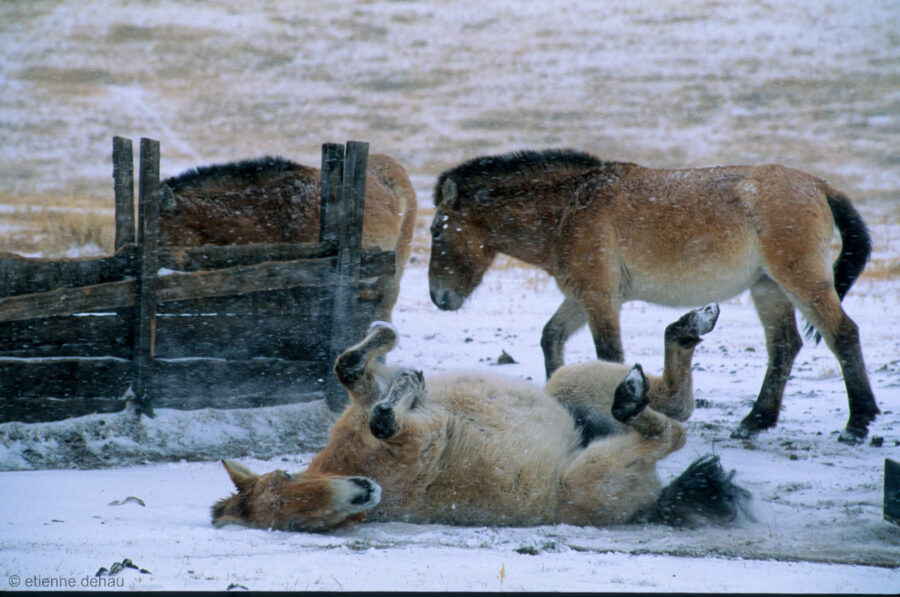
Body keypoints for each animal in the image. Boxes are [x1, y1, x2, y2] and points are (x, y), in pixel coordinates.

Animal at [214, 322, 748, 532]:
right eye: (299, 525)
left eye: (286, 478)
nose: (363, 492)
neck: (349, 461)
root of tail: (655, 501)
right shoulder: (416, 436)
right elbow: (386, 418)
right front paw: (405, 383)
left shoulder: (366, 401)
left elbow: (352, 370)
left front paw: (390, 348)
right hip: (592, 472)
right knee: (669, 429)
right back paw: (636, 394)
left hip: (569, 385)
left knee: (674, 403)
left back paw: (682, 335)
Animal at [428, 149, 880, 442]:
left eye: (435, 230)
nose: (438, 297)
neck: (569, 209)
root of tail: (818, 186)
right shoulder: (581, 298)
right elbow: (550, 338)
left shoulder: (600, 299)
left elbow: (609, 356)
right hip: (768, 288)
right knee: (784, 345)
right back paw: (755, 421)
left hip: (800, 281)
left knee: (842, 333)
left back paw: (858, 421)